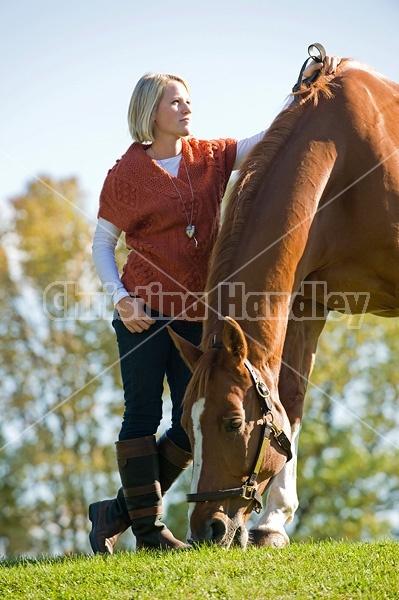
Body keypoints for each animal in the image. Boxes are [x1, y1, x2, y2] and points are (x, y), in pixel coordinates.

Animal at [170, 62, 399, 548]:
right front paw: (274, 522)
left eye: (233, 422)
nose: (206, 529)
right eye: (184, 423)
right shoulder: (307, 302)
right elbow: (289, 400)